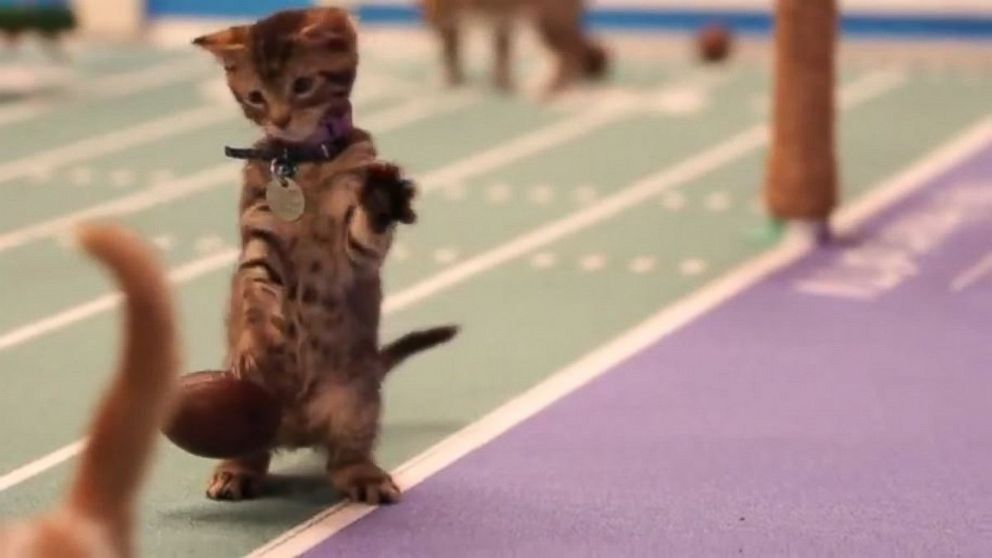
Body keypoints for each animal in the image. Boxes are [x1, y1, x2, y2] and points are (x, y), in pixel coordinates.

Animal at [195, 7, 458, 508]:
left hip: (356, 401)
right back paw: (235, 469)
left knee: (345, 456)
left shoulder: (355, 250)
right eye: (255, 97)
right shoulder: (259, 235)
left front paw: (381, 196)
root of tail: (296, 429)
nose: (280, 119)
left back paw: (365, 476)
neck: (302, 165)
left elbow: (368, 227)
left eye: (302, 85)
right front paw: (259, 340)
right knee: (254, 452)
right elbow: (255, 290)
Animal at [420, 0, 608, 95]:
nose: (430, 22)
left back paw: (553, 88)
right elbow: (454, 56)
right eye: (425, 6)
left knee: (573, 52)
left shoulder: (502, 20)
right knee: (576, 52)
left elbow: (501, 58)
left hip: (550, 24)